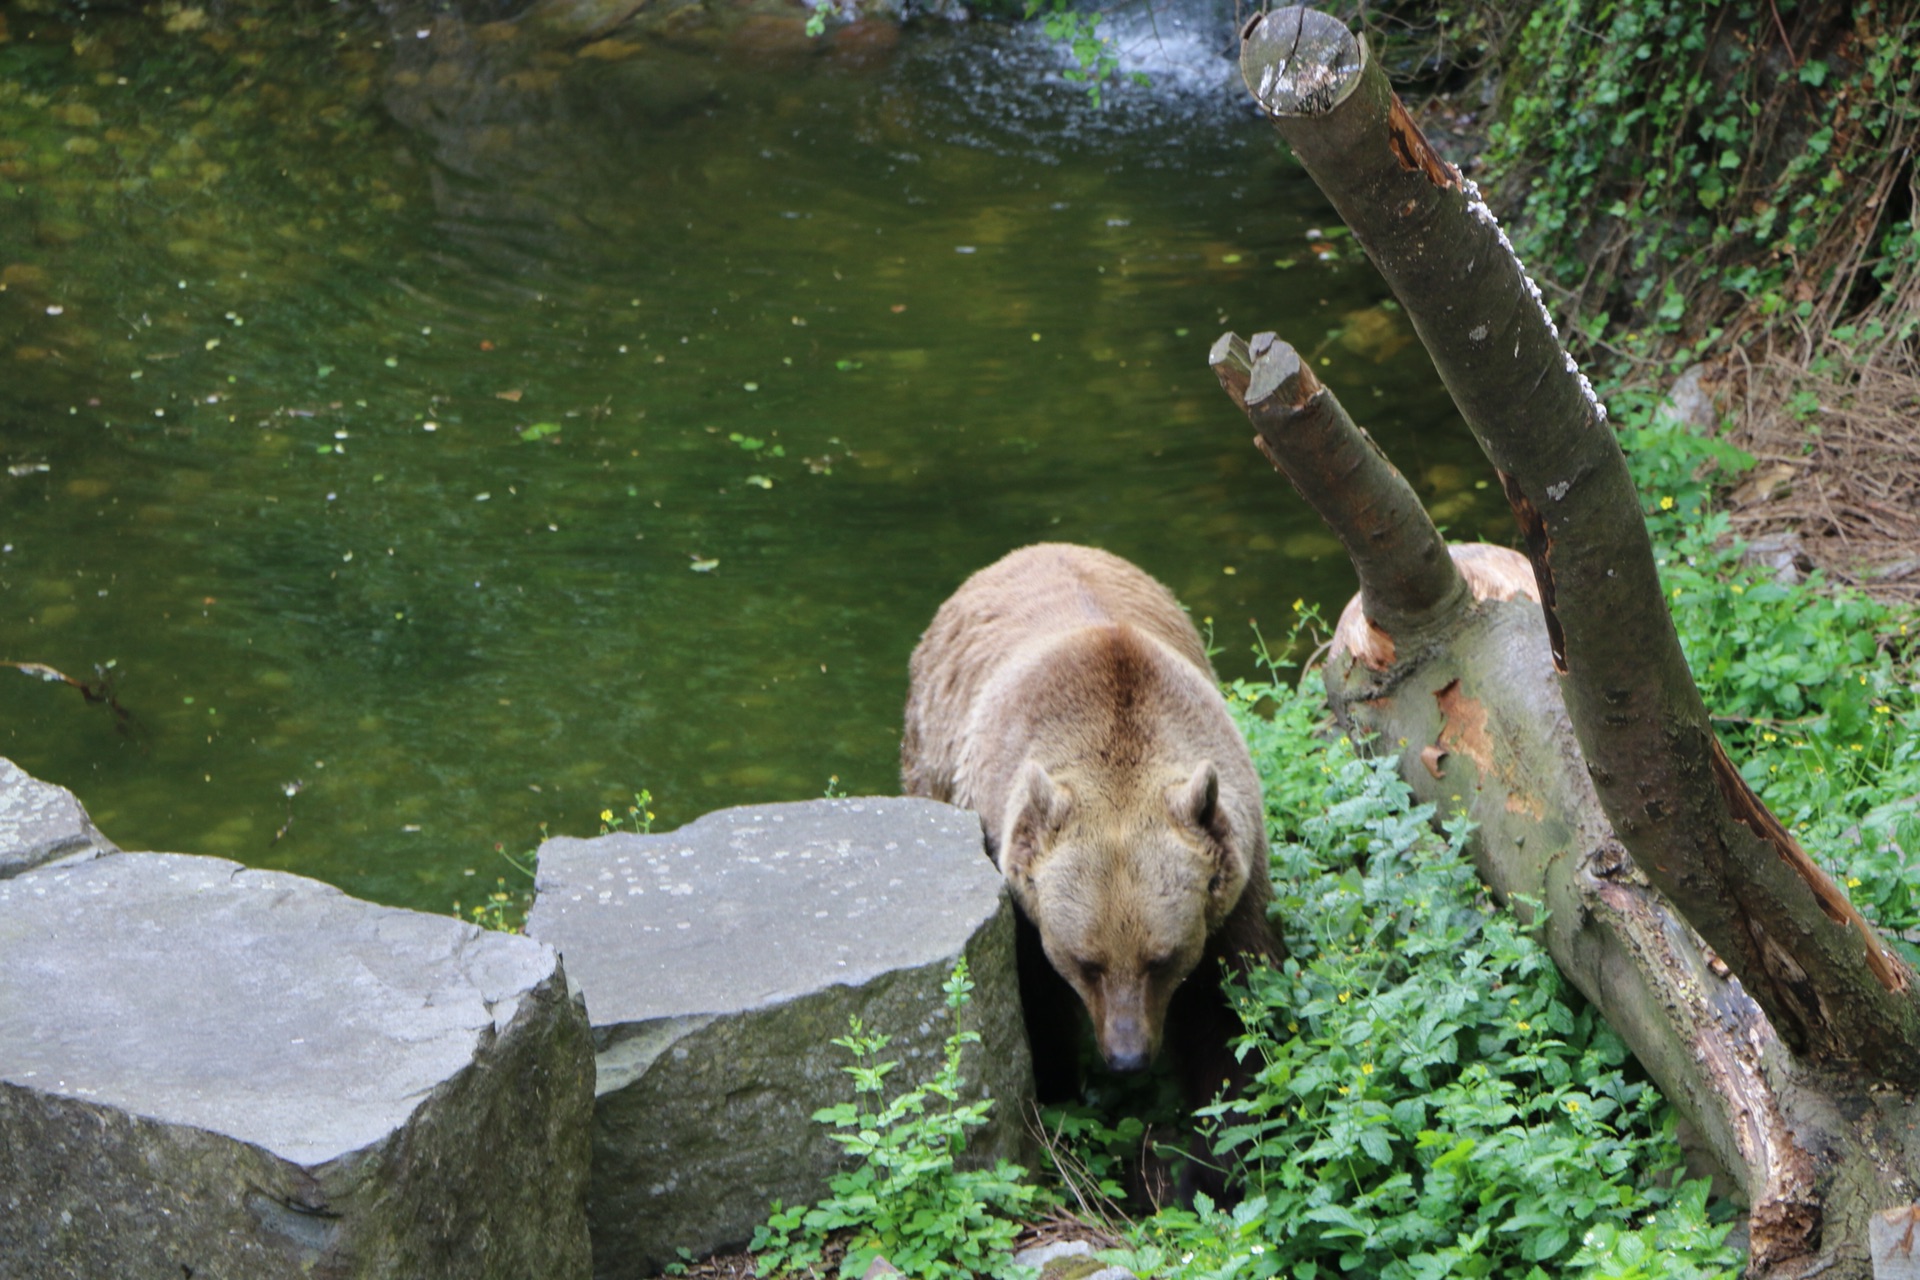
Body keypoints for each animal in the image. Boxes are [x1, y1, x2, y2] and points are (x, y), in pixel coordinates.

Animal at [902, 545, 1290, 1105]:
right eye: (1087, 961)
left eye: (1162, 959)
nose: (1127, 1056)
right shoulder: (1017, 883)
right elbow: (1035, 1009)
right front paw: (1056, 1087)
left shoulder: (1236, 869)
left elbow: (1231, 1005)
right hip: (929, 751)